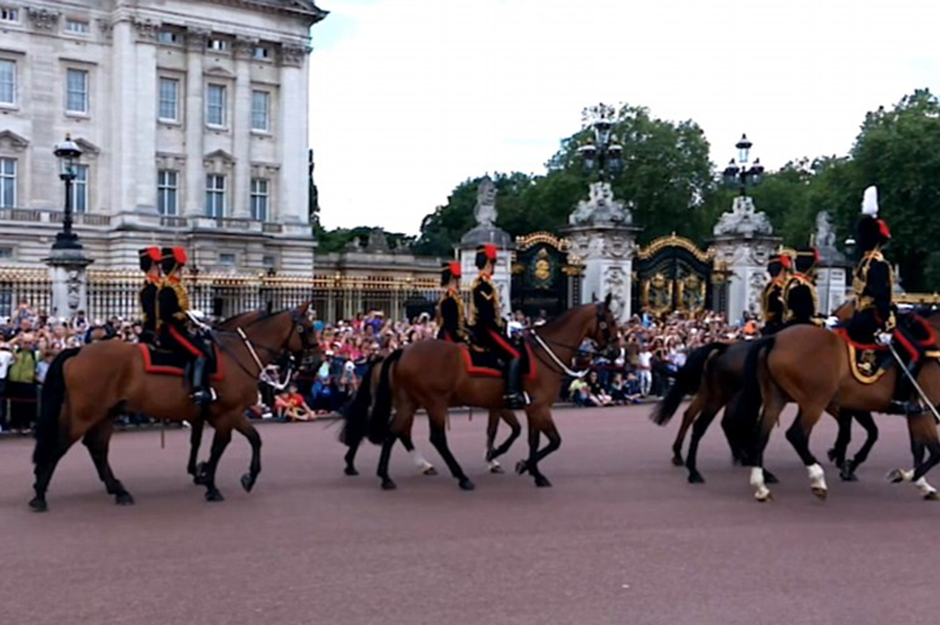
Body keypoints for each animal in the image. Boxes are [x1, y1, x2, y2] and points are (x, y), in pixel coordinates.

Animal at [30, 304, 316, 512]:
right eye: (307, 327)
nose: (315, 360)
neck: (237, 354)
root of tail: (79, 351)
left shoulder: (215, 415)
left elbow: (236, 441)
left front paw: (211, 474)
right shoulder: (228, 414)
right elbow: (224, 447)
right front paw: (214, 484)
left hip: (104, 413)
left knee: (96, 448)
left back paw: (118, 491)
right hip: (86, 413)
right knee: (61, 445)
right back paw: (40, 495)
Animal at [342, 294, 620, 490]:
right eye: (610, 322)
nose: (617, 352)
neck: (545, 353)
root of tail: (402, 351)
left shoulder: (525, 407)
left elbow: (528, 439)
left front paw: (531, 470)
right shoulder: (538, 407)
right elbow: (553, 441)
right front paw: (520, 465)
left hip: (409, 402)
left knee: (393, 432)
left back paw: (386, 476)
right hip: (434, 402)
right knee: (435, 438)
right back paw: (460, 477)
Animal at [736, 322, 940, 502]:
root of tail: (776, 338)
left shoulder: (918, 412)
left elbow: (920, 449)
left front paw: (922, 484)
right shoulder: (925, 411)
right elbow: (934, 451)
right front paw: (905, 475)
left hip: (776, 399)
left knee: (760, 436)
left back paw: (761, 487)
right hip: (814, 402)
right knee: (796, 435)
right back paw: (817, 479)